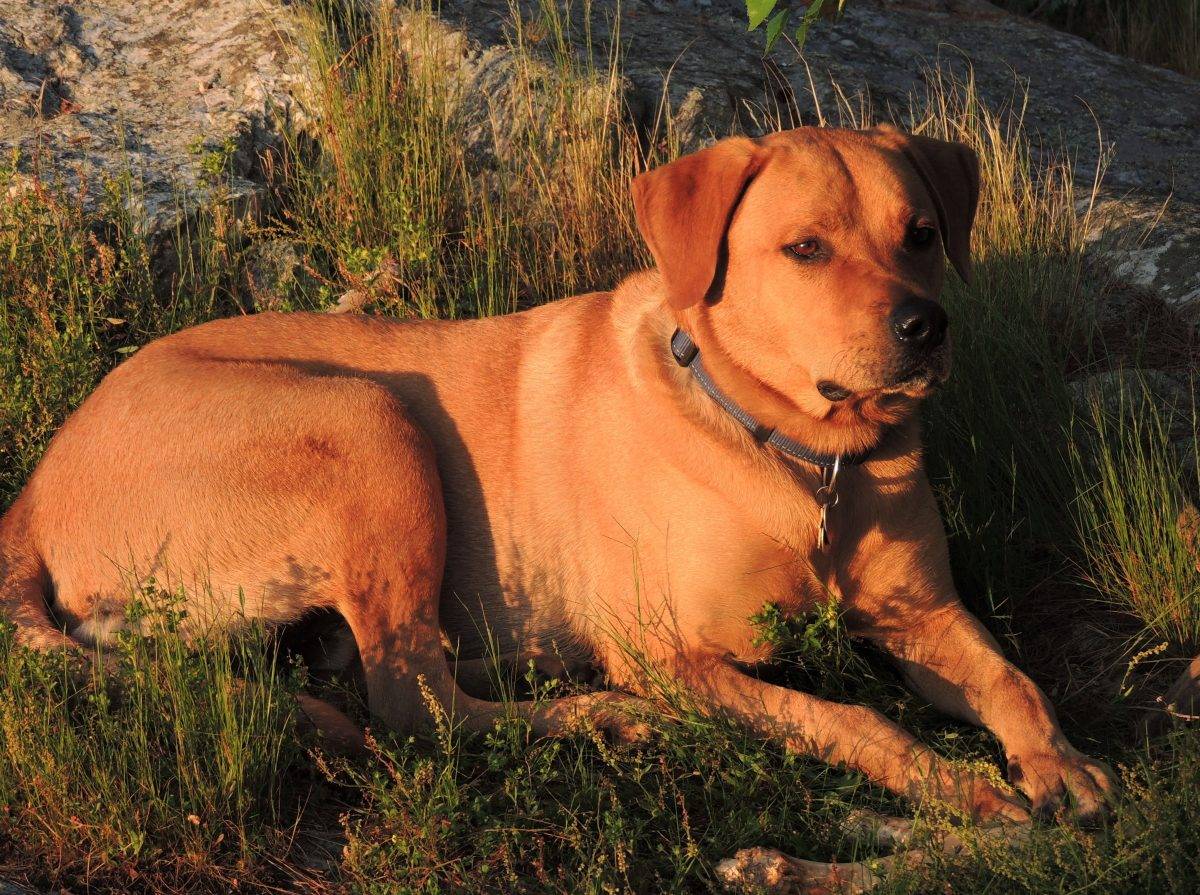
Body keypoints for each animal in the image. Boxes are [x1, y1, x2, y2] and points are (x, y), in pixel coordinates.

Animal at [0, 123, 1113, 815]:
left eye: (921, 234)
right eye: (805, 249)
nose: (927, 327)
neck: (805, 459)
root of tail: (31, 497)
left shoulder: (924, 614)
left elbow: (1011, 681)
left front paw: (1064, 766)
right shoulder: (671, 654)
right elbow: (846, 715)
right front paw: (957, 787)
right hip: (371, 420)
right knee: (412, 699)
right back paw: (602, 723)